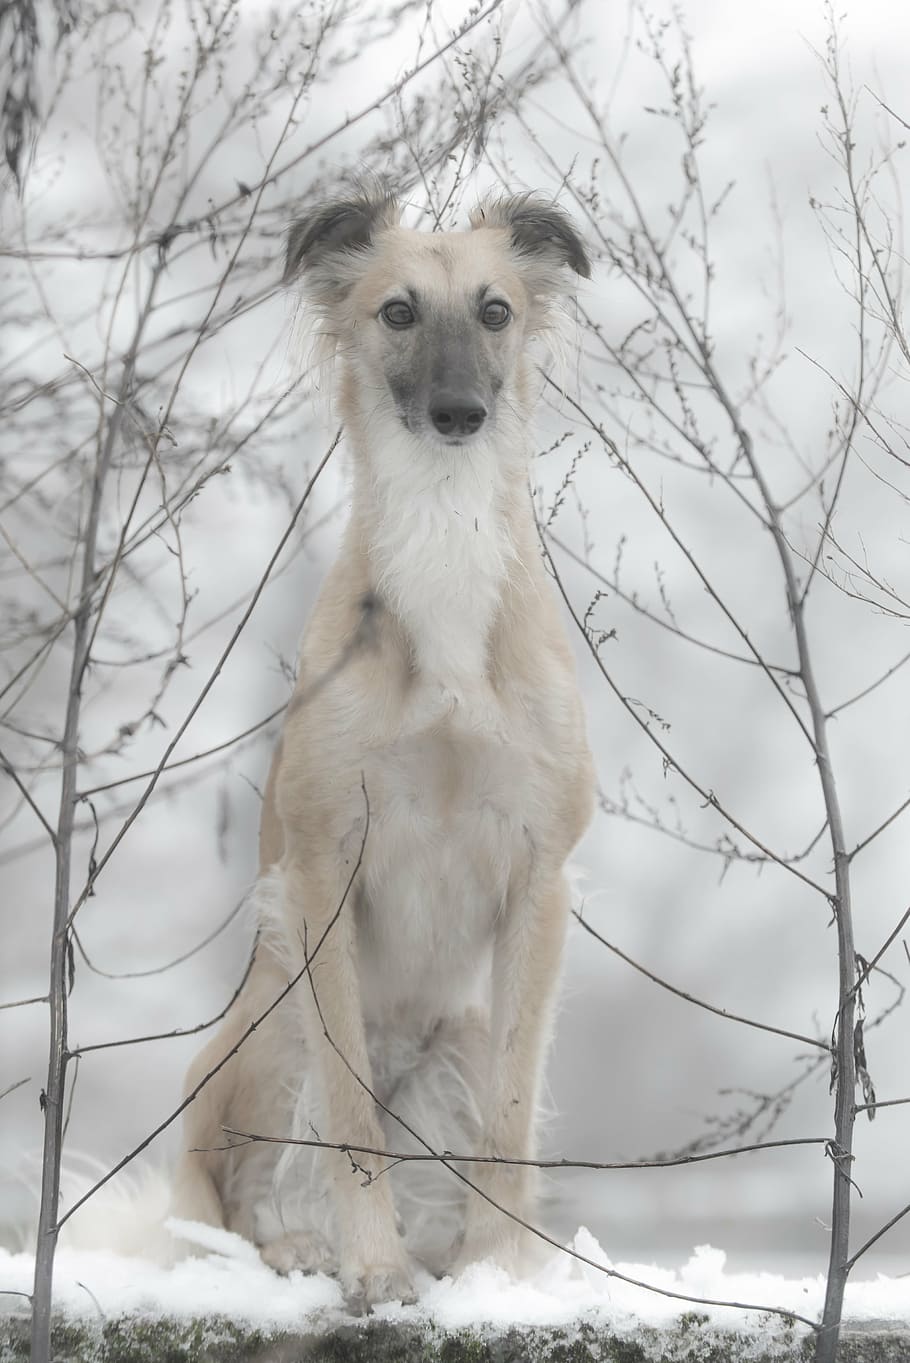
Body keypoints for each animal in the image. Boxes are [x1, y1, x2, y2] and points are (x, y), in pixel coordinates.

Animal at [170, 186, 596, 1313]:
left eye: (495, 310)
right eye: (397, 312)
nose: (459, 415)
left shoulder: (540, 879)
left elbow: (510, 1122)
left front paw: (500, 1276)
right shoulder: (324, 868)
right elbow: (352, 1122)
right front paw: (371, 1264)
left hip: (457, 1035)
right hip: (275, 1013)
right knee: (257, 1184)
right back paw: (304, 1251)